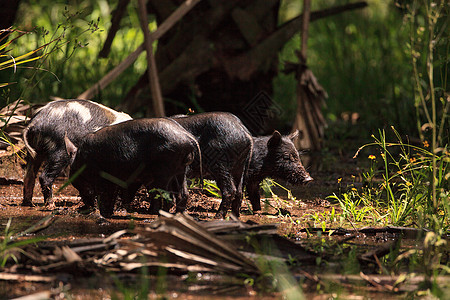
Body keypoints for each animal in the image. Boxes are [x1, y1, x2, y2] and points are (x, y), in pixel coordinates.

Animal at [64, 118, 198, 218]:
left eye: (75, 180)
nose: (85, 207)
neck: (81, 162)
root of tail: (188, 137)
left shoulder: (102, 177)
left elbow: (104, 195)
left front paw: (103, 215)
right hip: (180, 169)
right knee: (183, 194)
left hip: (164, 170)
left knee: (168, 196)